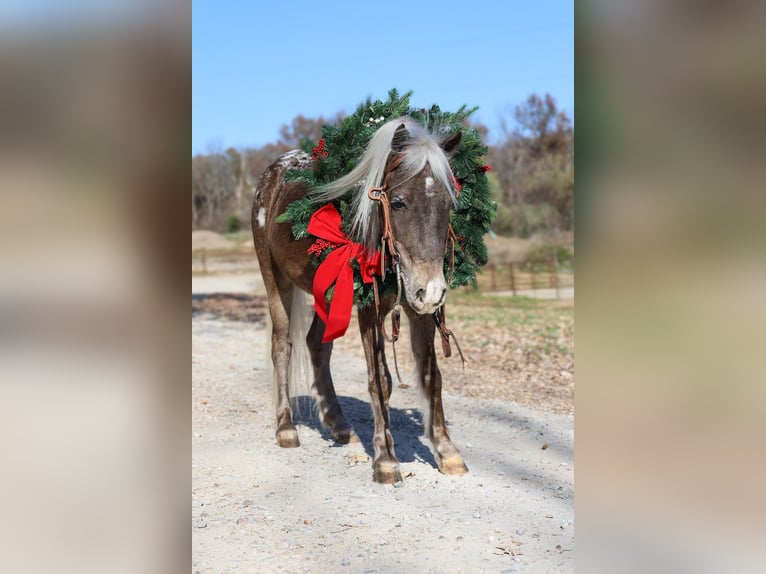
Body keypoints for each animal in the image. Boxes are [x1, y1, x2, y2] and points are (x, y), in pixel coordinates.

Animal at [251, 117, 468, 484]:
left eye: (449, 204)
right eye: (398, 202)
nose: (432, 290)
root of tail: (274, 172)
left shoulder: (418, 309)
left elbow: (431, 376)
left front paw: (447, 451)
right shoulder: (370, 308)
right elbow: (380, 380)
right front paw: (386, 458)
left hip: (327, 292)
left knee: (316, 344)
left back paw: (339, 425)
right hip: (275, 280)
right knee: (282, 344)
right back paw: (286, 428)